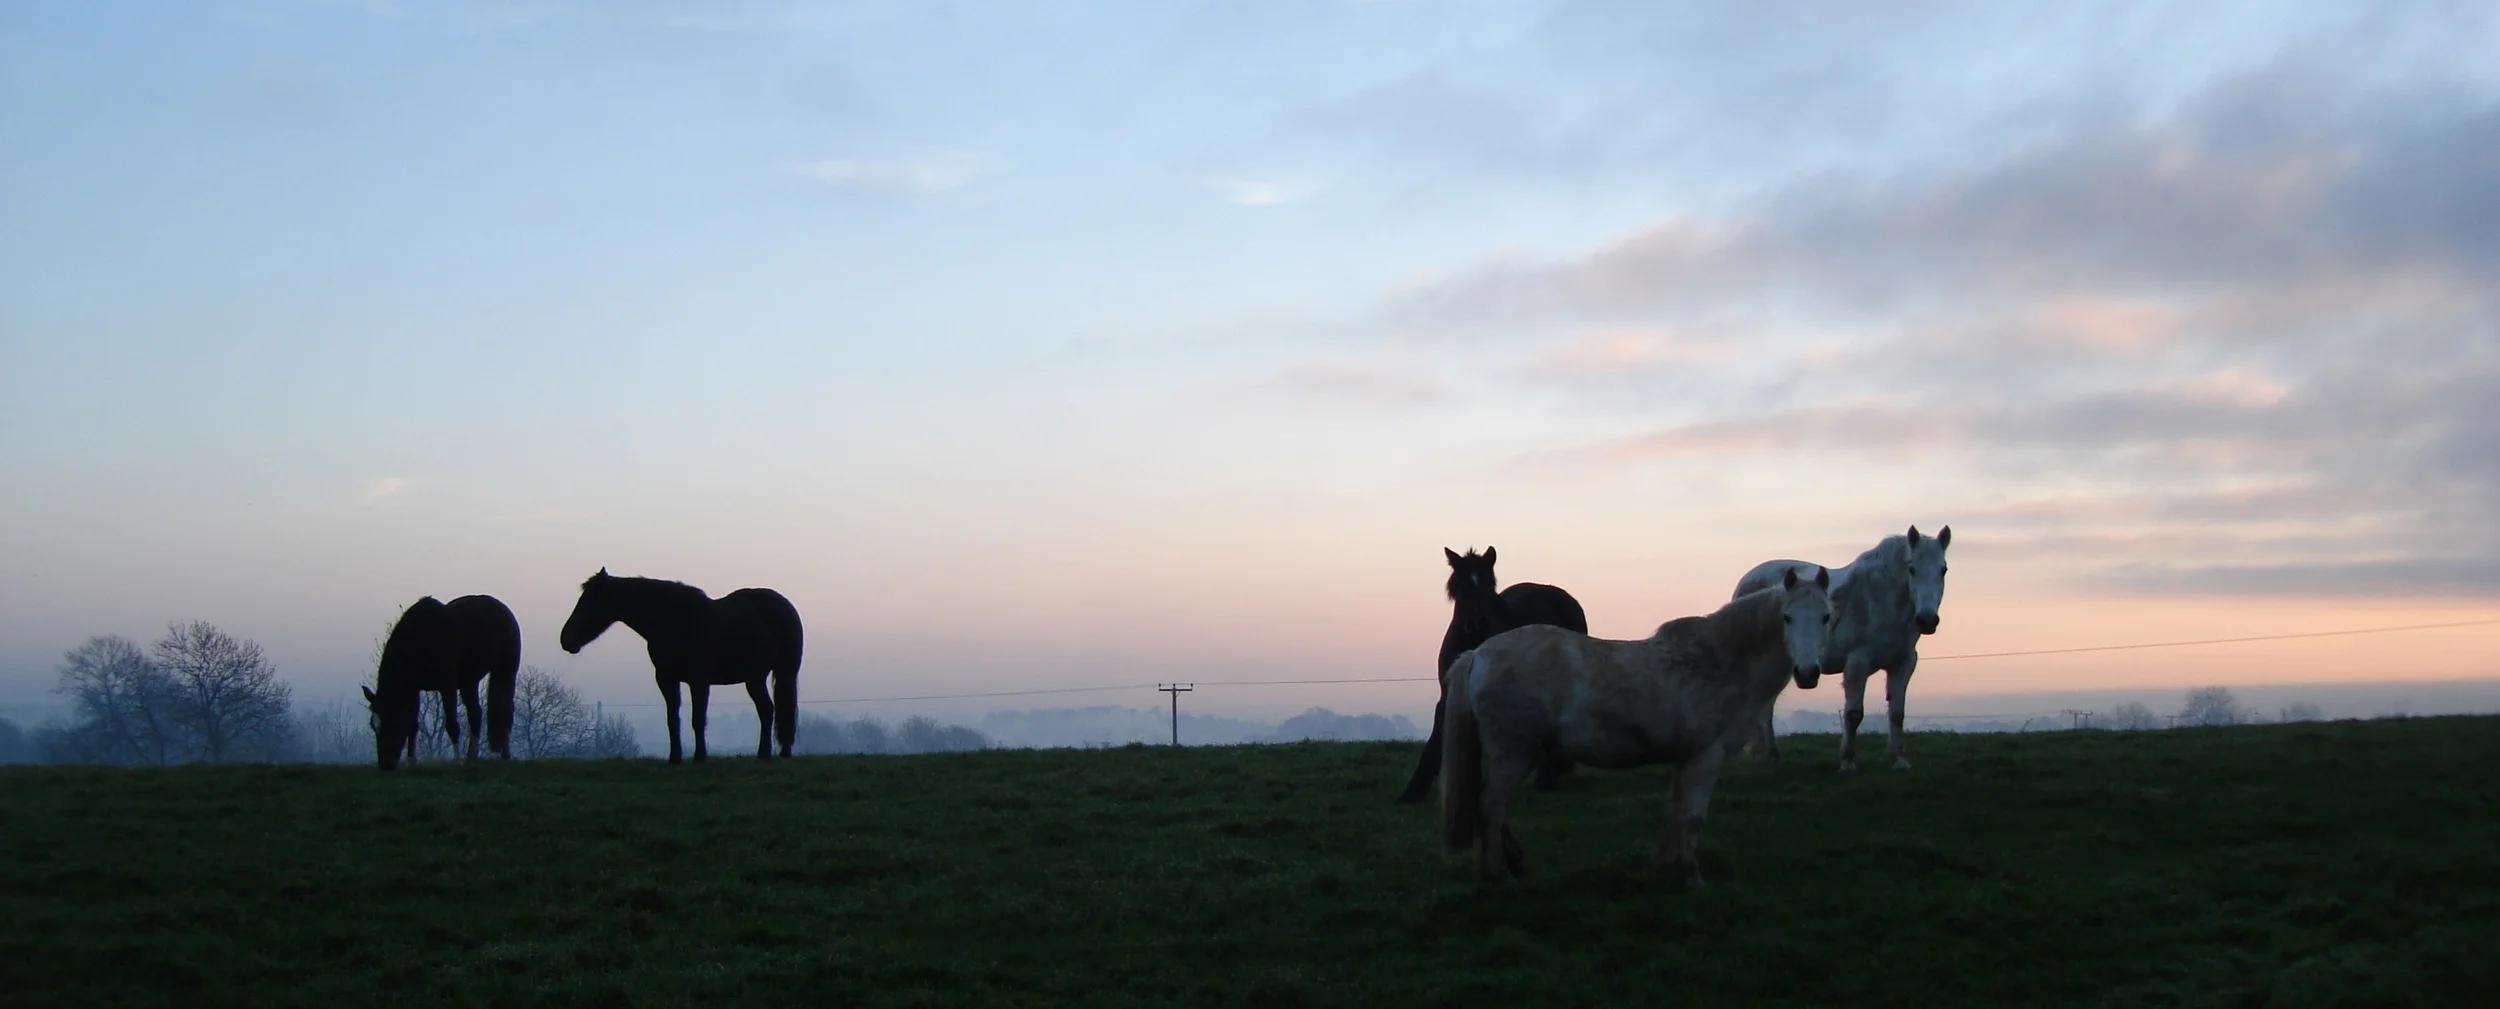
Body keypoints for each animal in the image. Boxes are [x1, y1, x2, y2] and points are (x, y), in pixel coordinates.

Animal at [362, 594, 521, 770]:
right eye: (373, 725)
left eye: (392, 720)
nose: (386, 765)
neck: (422, 640)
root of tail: (503, 609)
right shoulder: (414, 689)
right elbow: (413, 725)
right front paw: (412, 761)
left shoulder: (447, 687)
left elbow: (452, 725)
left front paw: (457, 761)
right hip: (468, 682)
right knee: (476, 713)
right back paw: (471, 756)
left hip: (506, 671)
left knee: (506, 709)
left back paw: (504, 755)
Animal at [558, 568, 804, 764]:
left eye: (589, 602)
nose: (565, 640)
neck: (675, 621)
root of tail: (784, 605)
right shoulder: (666, 679)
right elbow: (672, 719)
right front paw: (674, 757)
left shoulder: (699, 681)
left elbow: (698, 719)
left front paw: (699, 757)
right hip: (754, 677)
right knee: (767, 710)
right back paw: (764, 753)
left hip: (783, 673)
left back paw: (779, 752)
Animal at [1395, 546, 1590, 804]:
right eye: (1459, 586)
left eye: (1488, 584)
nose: (1476, 623)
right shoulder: (1448, 694)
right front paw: (1413, 792)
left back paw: (1547, 778)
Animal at [1441, 566, 1831, 884]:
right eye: (1787, 617)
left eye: (1827, 617)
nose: (1808, 673)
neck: (1718, 663)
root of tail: (1477, 655)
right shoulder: (1706, 758)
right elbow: (1693, 817)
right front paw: (1692, 877)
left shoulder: (1686, 759)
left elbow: (1676, 812)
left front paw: (1665, 866)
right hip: (1514, 752)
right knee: (1491, 804)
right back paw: (1500, 873)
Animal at [1732, 525, 1950, 771]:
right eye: (1912, 569)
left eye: (1943, 570)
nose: (1927, 620)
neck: (1883, 601)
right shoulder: (1857, 662)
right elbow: (1854, 714)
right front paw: (1847, 761)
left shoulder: (1904, 663)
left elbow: (1897, 713)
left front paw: (1899, 759)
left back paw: (1771, 755)